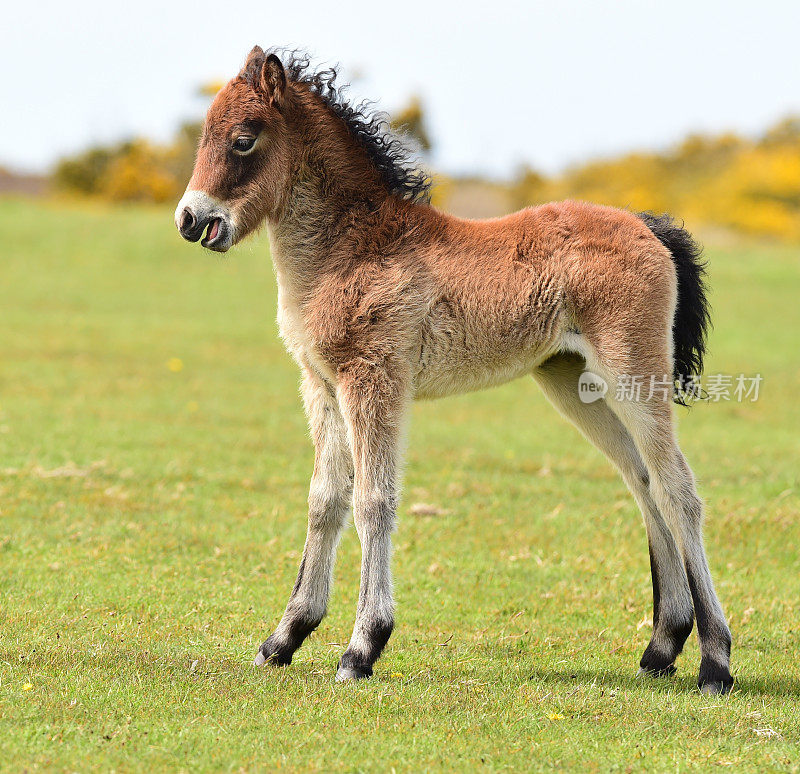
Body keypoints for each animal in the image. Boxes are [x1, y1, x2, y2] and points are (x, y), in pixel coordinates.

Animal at [175, 45, 732, 696]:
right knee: (642, 482)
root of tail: (646, 225)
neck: (354, 246)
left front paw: (362, 648)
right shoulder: (321, 385)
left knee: (677, 489)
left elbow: (372, 501)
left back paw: (715, 661)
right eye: (204, 134)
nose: (190, 219)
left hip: (633, 372)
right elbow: (324, 500)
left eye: (243, 140)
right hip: (572, 383)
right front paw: (284, 639)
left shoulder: (374, 381)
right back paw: (662, 646)